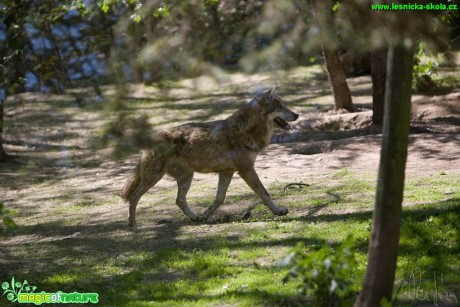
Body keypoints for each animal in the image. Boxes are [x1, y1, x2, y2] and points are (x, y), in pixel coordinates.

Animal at [122, 87, 300, 226]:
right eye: (281, 106)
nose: (297, 115)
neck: (246, 130)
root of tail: (150, 139)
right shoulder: (246, 169)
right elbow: (264, 193)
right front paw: (278, 211)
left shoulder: (227, 172)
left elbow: (219, 199)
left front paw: (206, 216)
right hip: (154, 178)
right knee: (134, 197)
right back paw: (133, 223)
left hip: (186, 178)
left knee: (179, 200)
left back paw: (194, 218)